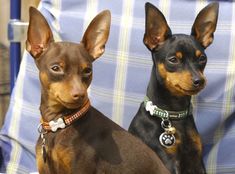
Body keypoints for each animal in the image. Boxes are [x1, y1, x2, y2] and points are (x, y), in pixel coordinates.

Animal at [129, 2, 218, 174]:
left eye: (202, 58)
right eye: (173, 60)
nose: (199, 80)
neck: (174, 114)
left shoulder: (197, 161)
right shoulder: (167, 161)